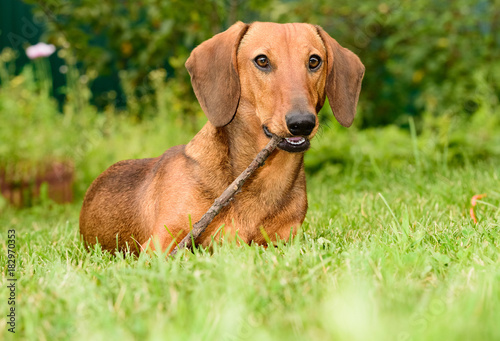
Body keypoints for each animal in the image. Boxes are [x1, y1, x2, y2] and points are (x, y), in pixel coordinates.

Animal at [81, 21, 364, 252]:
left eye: (314, 61)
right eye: (262, 60)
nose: (302, 123)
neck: (261, 181)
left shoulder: (282, 241)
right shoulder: (160, 243)